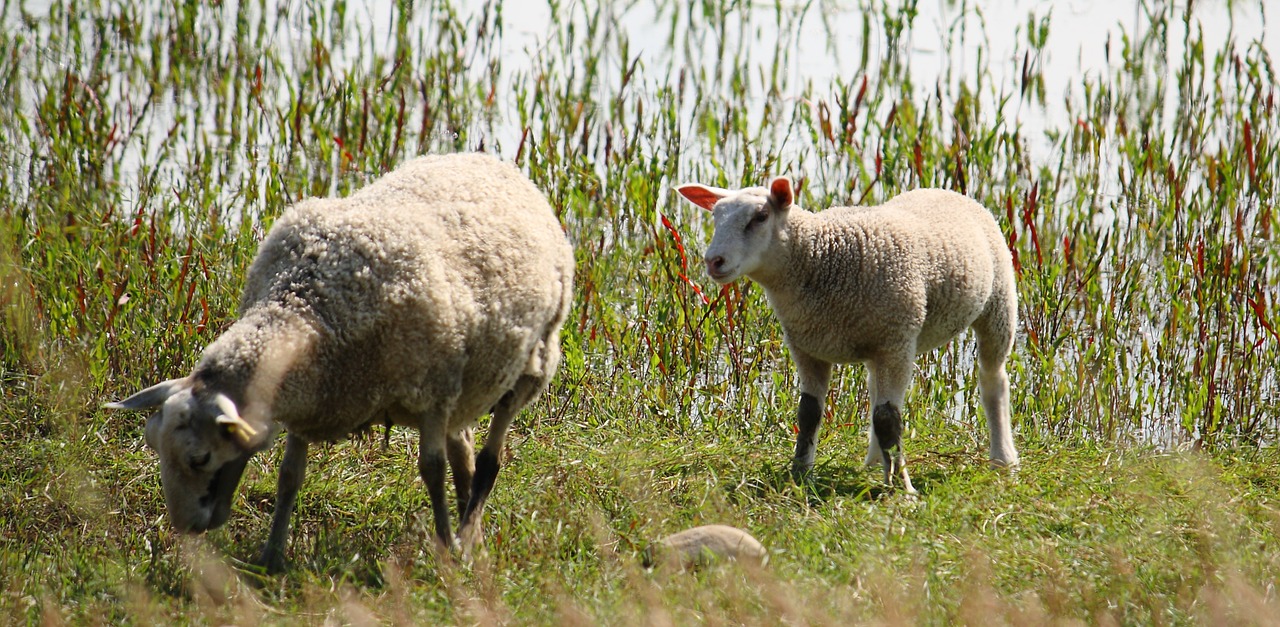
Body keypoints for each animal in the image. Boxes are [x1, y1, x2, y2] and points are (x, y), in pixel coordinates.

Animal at [104, 152, 576, 573]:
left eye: (200, 459)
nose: (185, 527)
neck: (305, 305)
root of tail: (493, 161)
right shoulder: (307, 401)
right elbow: (289, 476)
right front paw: (271, 556)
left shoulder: (431, 393)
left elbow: (431, 470)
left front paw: (443, 551)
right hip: (466, 388)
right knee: (465, 454)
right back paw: (469, 534)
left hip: (530, 364)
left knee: (489, 462)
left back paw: (463, 533)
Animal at [675, 174, 1013, 491]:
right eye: (715, 217)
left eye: (760, 217)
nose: (713, 261)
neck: (818, 258)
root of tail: (943, 190)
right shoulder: (807, 347)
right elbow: (809, 413)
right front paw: (800, 473)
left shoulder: (895, 340)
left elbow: (887, 418)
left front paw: (901, 487)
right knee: (875, 390)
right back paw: (875, 460)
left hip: (997, 302)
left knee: (992, 380)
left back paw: (1002, 458)